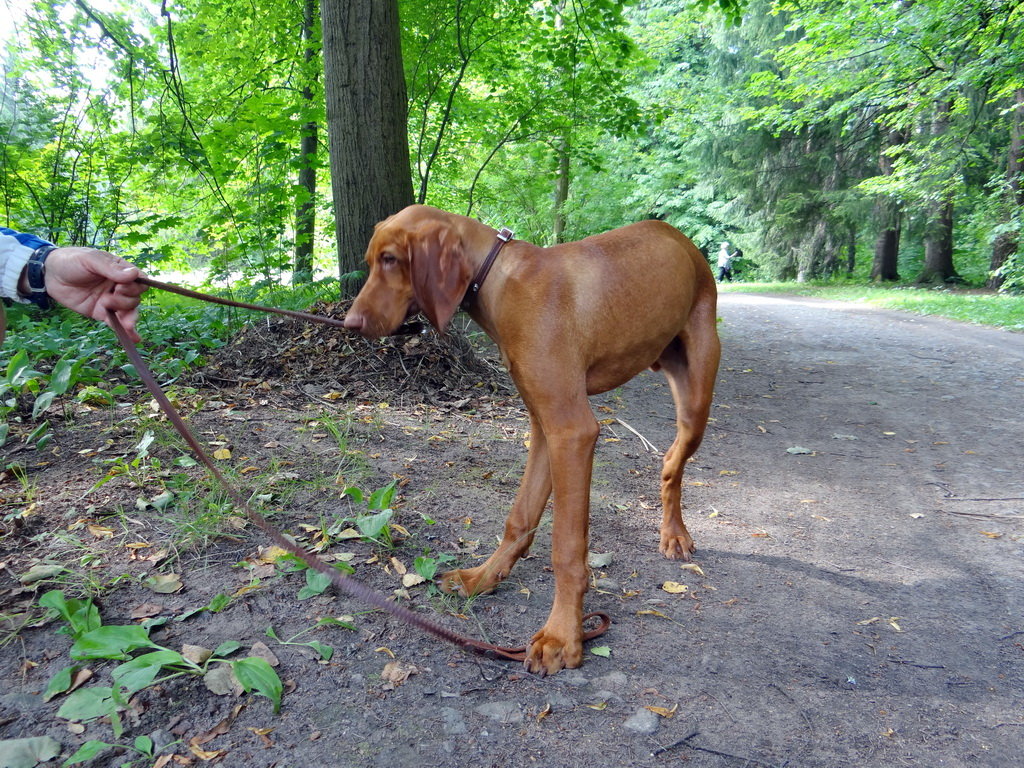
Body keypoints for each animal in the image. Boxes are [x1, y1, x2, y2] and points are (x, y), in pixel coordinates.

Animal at [344, 202, 720, 671]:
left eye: (391, 259)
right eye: (371, 261)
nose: (350, 324)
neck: (500, 279)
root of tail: (682, 240)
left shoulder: (572, 430)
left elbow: (567, 547)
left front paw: (562, 636)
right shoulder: (544, 426)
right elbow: (519, 517)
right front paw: (483, 577)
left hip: (697, 396)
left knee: (672, 461)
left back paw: (674, 534)